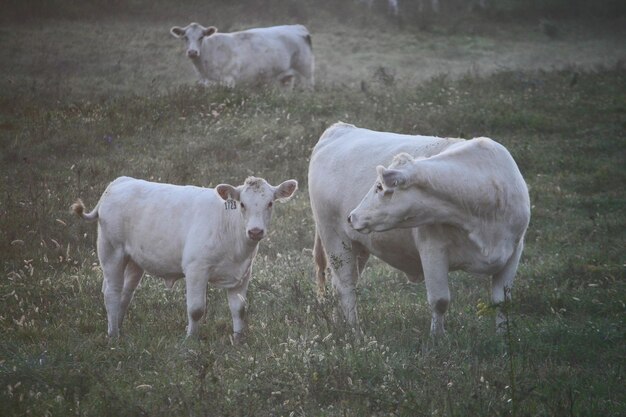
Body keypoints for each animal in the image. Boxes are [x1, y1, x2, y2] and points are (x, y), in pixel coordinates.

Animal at [72, 174, 296, 340]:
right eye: (242, 204)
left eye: (270, 203)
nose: (255, 231)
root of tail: (119, 182)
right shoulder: (196, 268)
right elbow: (196, 309)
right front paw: (190, 339)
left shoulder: (243, 274)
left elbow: (239, 309)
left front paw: (239, 339)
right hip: (111, 251)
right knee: (112, 292)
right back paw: (113, 335)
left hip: (134, 260)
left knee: (125, 293)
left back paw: (118, 326)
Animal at [169, 22, 312, 88]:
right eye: (185, 37)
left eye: (201, 37)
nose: (192, 52)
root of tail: (297, 27)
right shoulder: (207, 83)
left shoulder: (228, 80)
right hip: (286, 78)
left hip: (305, 72)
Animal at [308, 122, 528, 336]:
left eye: (379, 187)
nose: (352, 216)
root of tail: (340, 128)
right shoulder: (432, 249)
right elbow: (439, 301)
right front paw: (437, 339)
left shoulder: (514, 251)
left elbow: (502, 302)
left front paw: (502, 337)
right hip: (335, 238)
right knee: (346, 286)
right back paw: (355, 331)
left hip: (357, 247)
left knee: (342, 284)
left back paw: (341, 325)